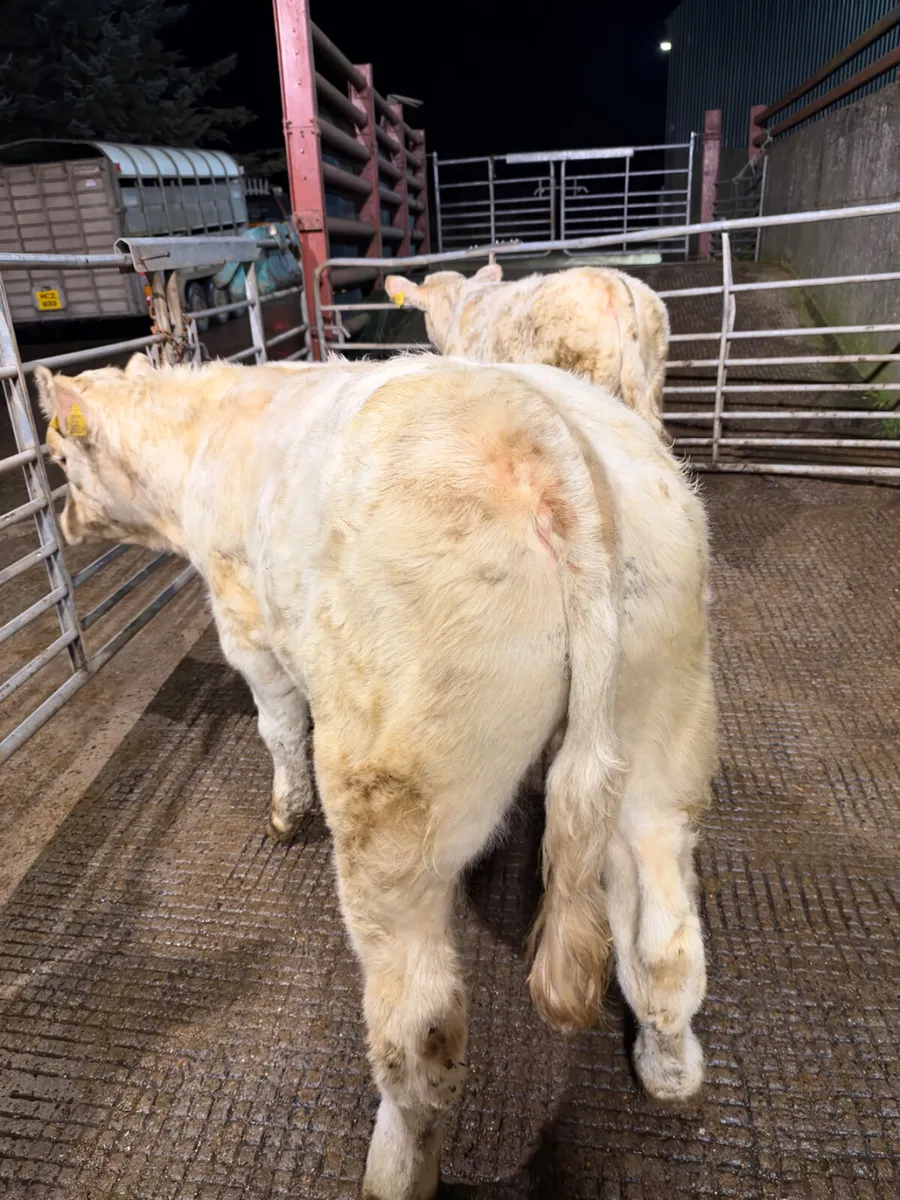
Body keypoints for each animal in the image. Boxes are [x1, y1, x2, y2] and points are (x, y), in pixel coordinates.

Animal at [38, 352, 716, 1200]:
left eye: (61, 461)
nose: (65, 526)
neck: (208, 436)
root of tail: (534, 434)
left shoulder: (245, 627)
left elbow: (278, 727)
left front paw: (285, 812)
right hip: (658, 731)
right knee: (665, 940)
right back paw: (668, 1070)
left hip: (391, 814)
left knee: (420, 1033)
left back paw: (392, 1170)